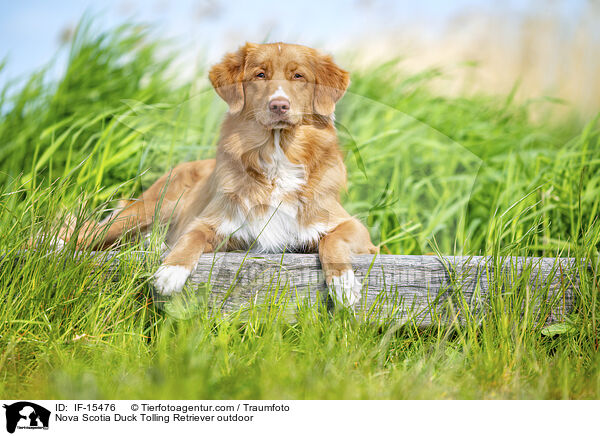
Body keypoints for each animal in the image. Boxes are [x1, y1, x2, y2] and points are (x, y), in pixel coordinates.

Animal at [63, 42, 378, 304]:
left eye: (298, 76)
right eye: (260, 75)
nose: (279, 105)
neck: (277, 157)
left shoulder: (356, 231)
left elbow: (332, 239)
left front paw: (343, 283)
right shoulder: (215, 225)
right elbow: (191, 237)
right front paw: (171, 270)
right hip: (152, 209)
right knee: (84, 233)